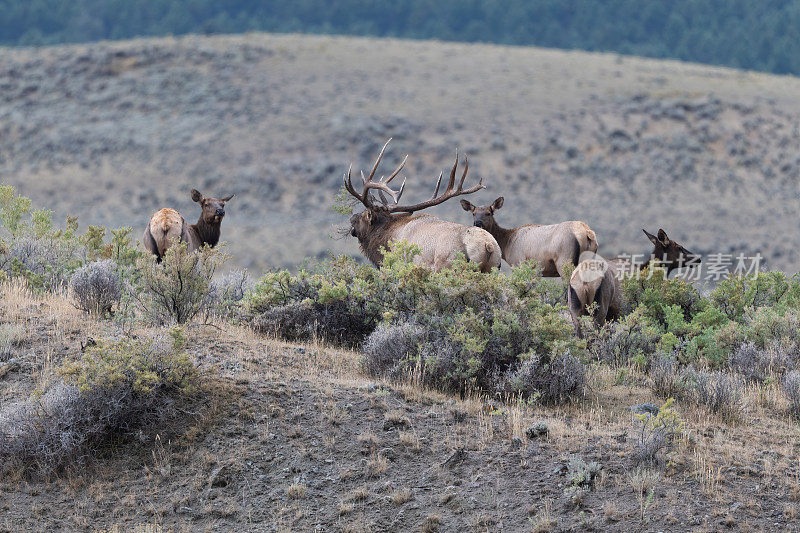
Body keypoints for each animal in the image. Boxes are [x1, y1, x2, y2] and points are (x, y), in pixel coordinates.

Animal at [460, 196, 596, 278]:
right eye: (474, 213)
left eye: (488, 213)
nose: (477, 223)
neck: (507, 244)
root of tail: (587, 233)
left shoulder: (518, 263)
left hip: (564, 261)